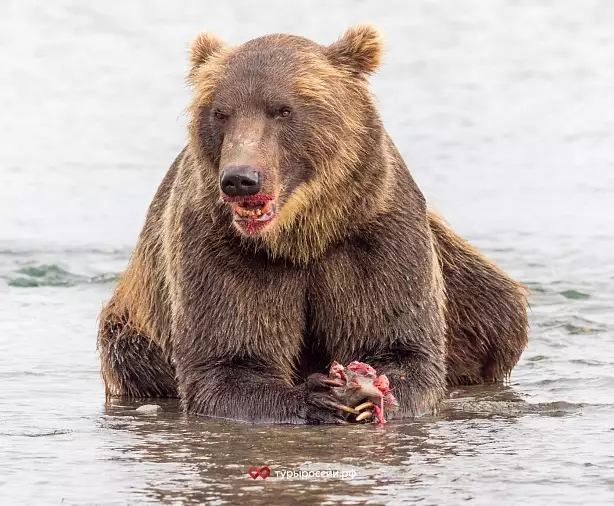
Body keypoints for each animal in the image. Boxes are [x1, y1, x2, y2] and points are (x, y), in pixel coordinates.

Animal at [98, 24, 532, 422]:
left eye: (283, 109)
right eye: (220, 112)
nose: (240, 178)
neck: (302, 234)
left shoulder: (375, 235)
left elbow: (402, 345)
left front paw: (370, 388)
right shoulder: (218, 244)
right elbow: (229, 359)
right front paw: (317, 395)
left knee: (497, 310)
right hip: (134, 332)